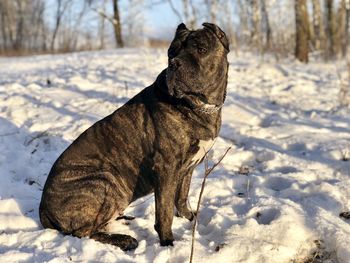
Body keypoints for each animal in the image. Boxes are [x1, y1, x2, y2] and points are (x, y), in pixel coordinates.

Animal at [39, 22, 230, 252]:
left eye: (201, 49)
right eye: (171, 52)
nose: (174, 64)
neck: (197, 106)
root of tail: (43, 210)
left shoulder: (188, 168)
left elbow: (182, 197)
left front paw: (188, 217)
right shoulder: (166, 168)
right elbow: (164, 211)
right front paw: (168, 243)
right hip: (105, 180)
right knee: (83, 232)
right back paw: (124, 239)